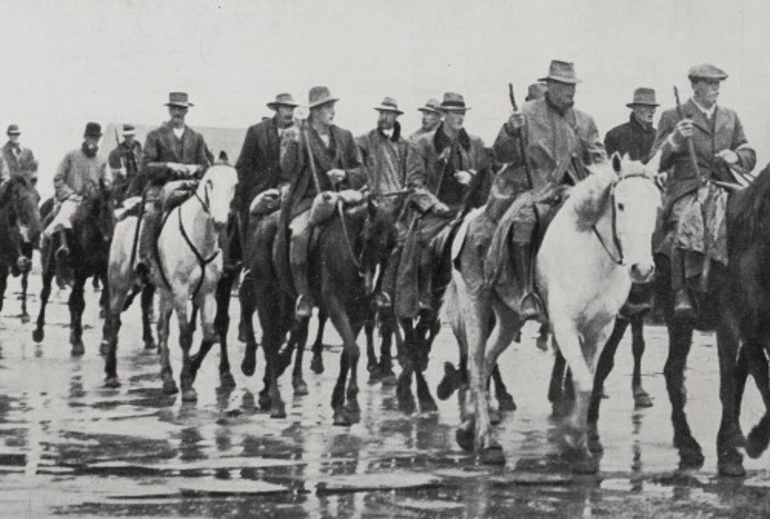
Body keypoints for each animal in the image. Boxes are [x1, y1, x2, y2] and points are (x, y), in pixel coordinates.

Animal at [0, 177, 41, 318]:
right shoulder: (3, 260)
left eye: (38, 198)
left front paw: (24, 312)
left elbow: (24, 281)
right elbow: (3, 284)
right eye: (23, 199)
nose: (36, 233)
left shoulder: (27, 253)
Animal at [450, 152, 660, 474]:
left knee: (485, 359)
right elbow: (583, 381)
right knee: (474, 364)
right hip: (475, 301)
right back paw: (487, 441)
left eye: (656, 207)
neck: (592, 254)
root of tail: (471, 217)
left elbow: (589, 379)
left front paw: (576, 440)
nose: (642, 269)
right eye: (621, 204)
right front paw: (577, 444)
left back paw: (468, 427)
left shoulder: (599, 330)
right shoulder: (565, 326)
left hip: (509, 317)